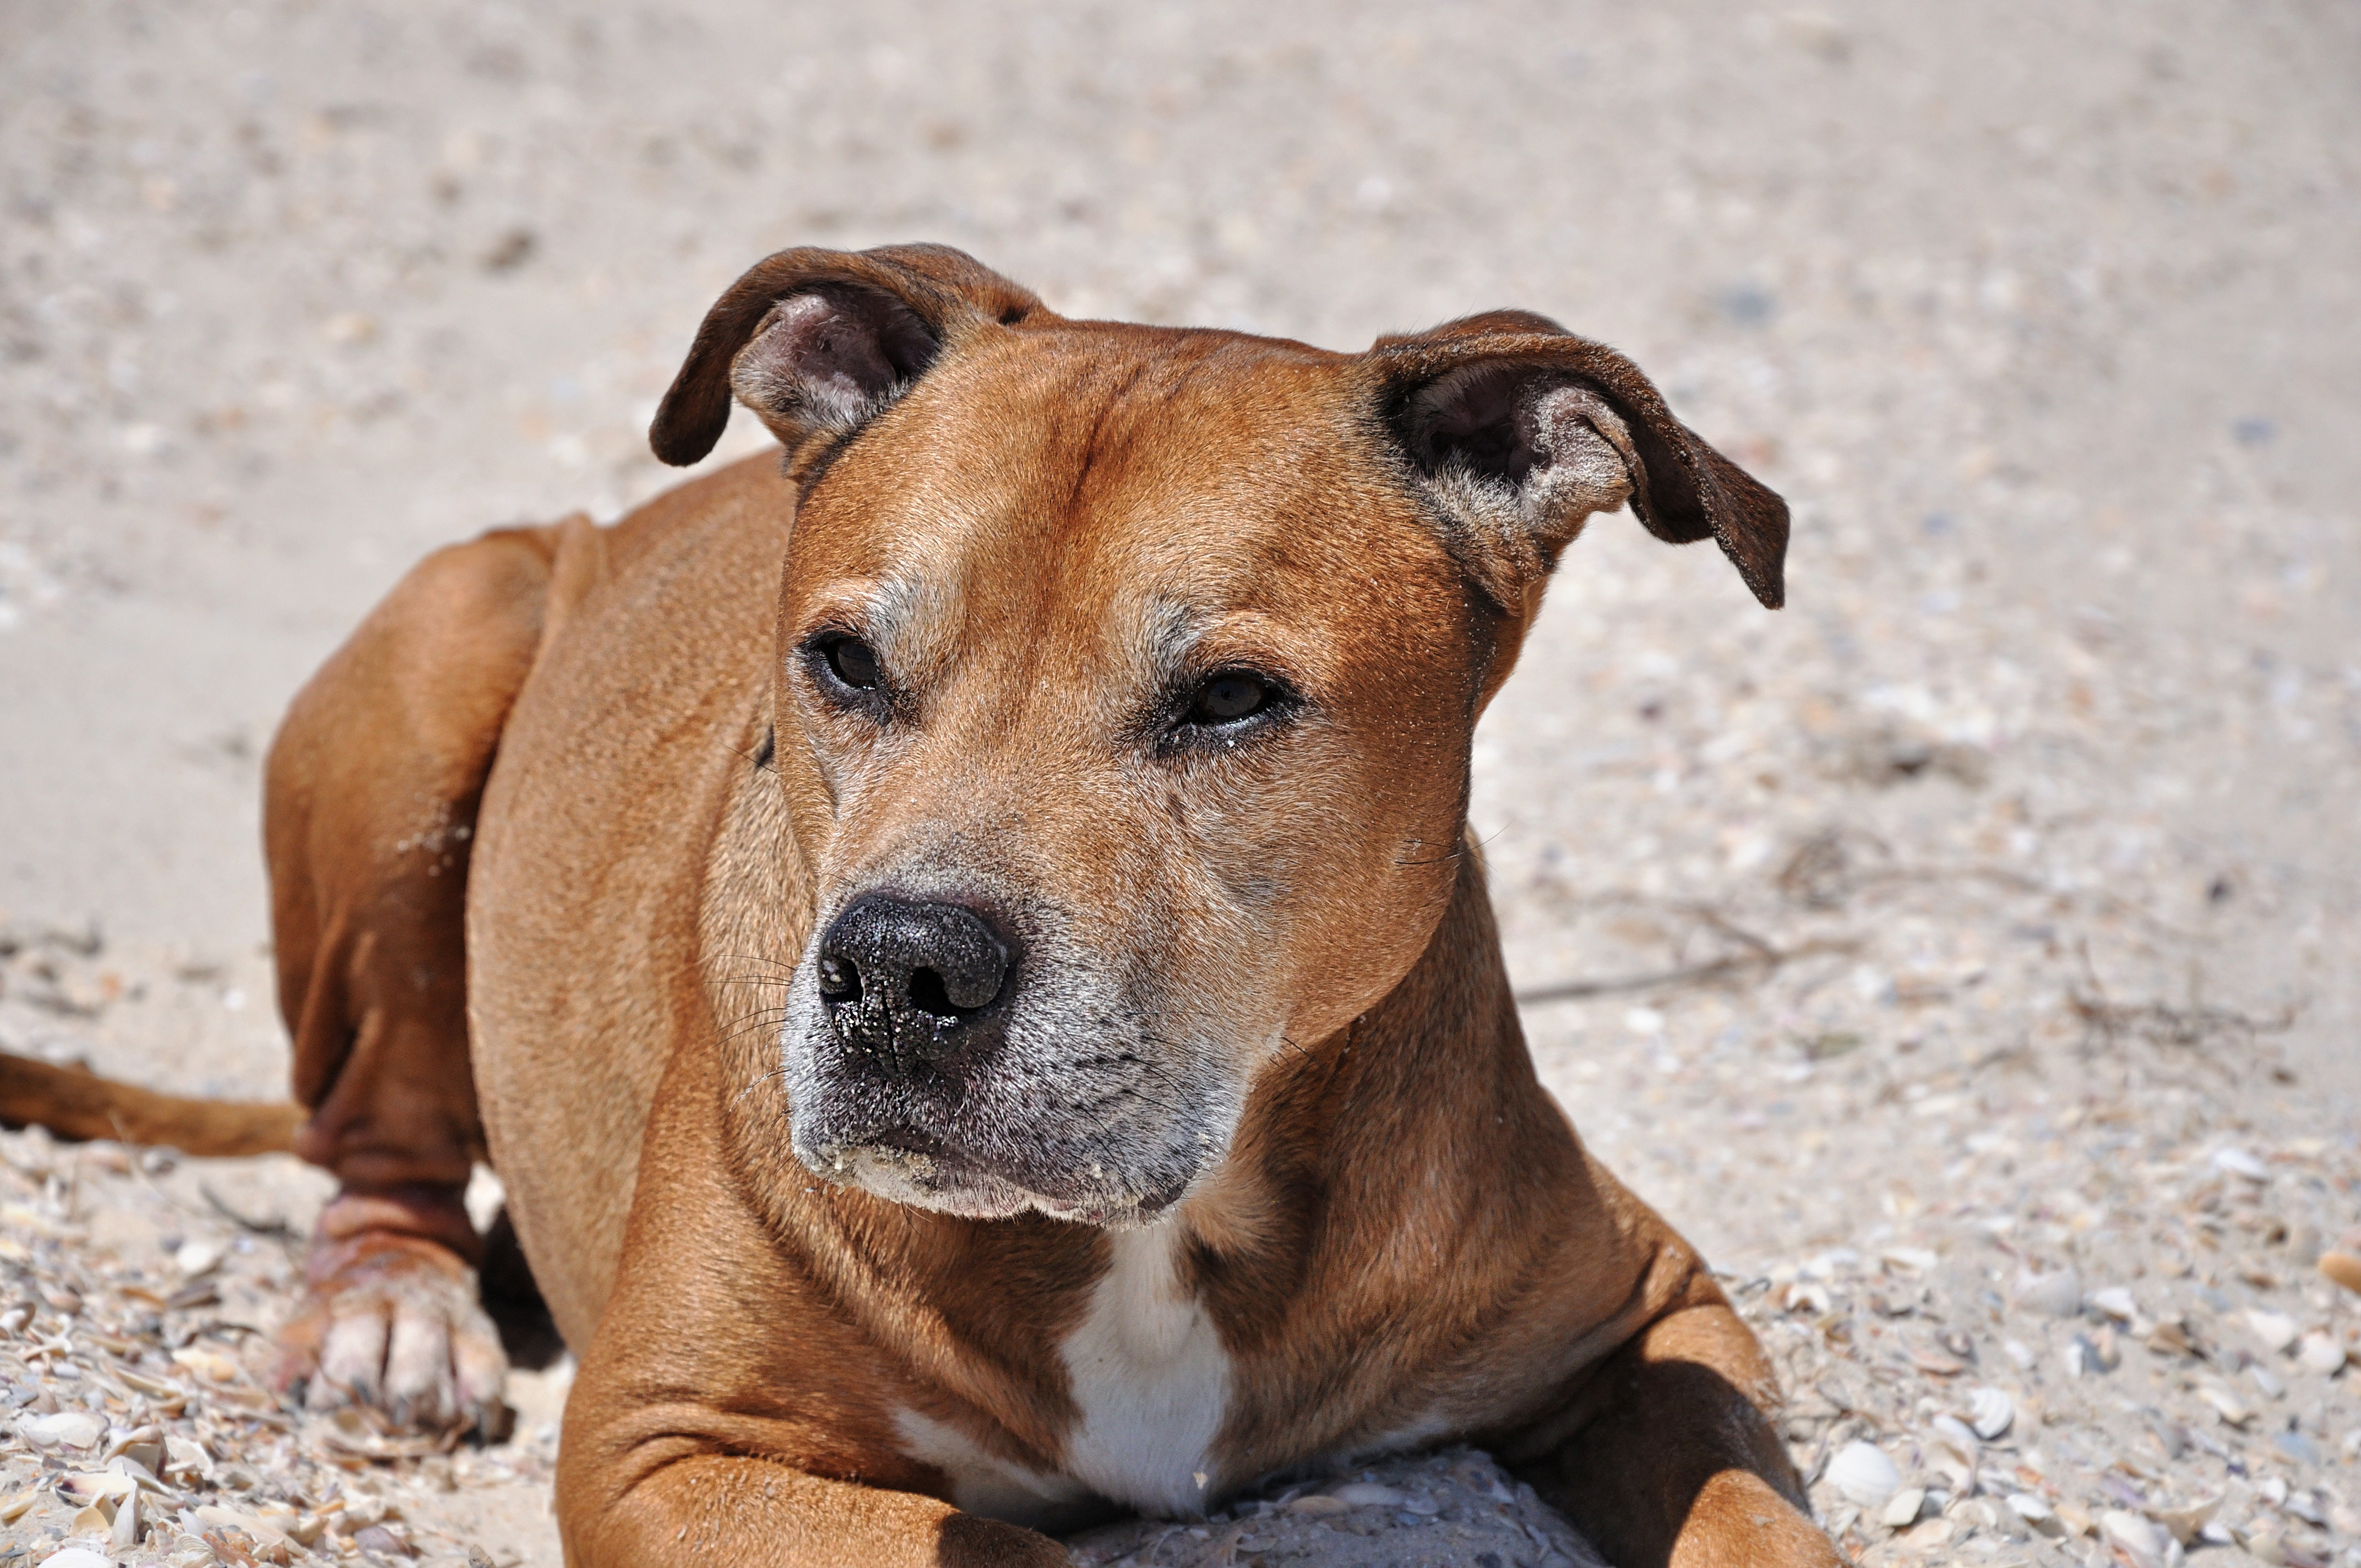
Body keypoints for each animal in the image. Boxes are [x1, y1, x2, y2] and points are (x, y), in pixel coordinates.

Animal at [4, 238, 1841, 1558]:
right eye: (841, 661)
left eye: (1232, 699)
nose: (900, 970)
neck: (1163, 1235)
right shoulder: (669, 1447)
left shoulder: (1659, 1327)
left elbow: (1748, 1517)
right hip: (446, 647)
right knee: (375, 1141)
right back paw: (391, 1318)